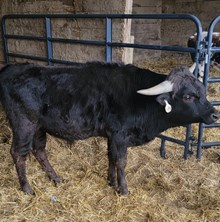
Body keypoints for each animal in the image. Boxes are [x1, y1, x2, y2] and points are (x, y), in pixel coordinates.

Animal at [0, 62, 218, 194]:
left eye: (202, 90)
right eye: (188, 96)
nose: (215, 114)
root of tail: (12, 68)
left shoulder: (112, 136)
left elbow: (111, 158)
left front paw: (111, 182)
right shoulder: (120, 136)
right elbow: (121, 161)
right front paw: (123, 190)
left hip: (39, 127)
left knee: (39, 150)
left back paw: (55, 178)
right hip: (24, 124)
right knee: (18, 153)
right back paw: (27, 188)